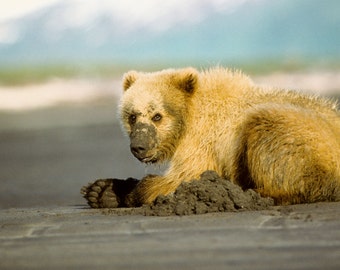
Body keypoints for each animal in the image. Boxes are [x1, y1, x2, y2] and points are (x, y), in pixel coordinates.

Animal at [83, 67, 340, 207]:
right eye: (132, 116)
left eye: (157, 116)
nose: (139, 146)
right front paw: (101, 191)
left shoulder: (204, 139)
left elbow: (186, 176)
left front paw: (129, 191)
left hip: (300, 135)